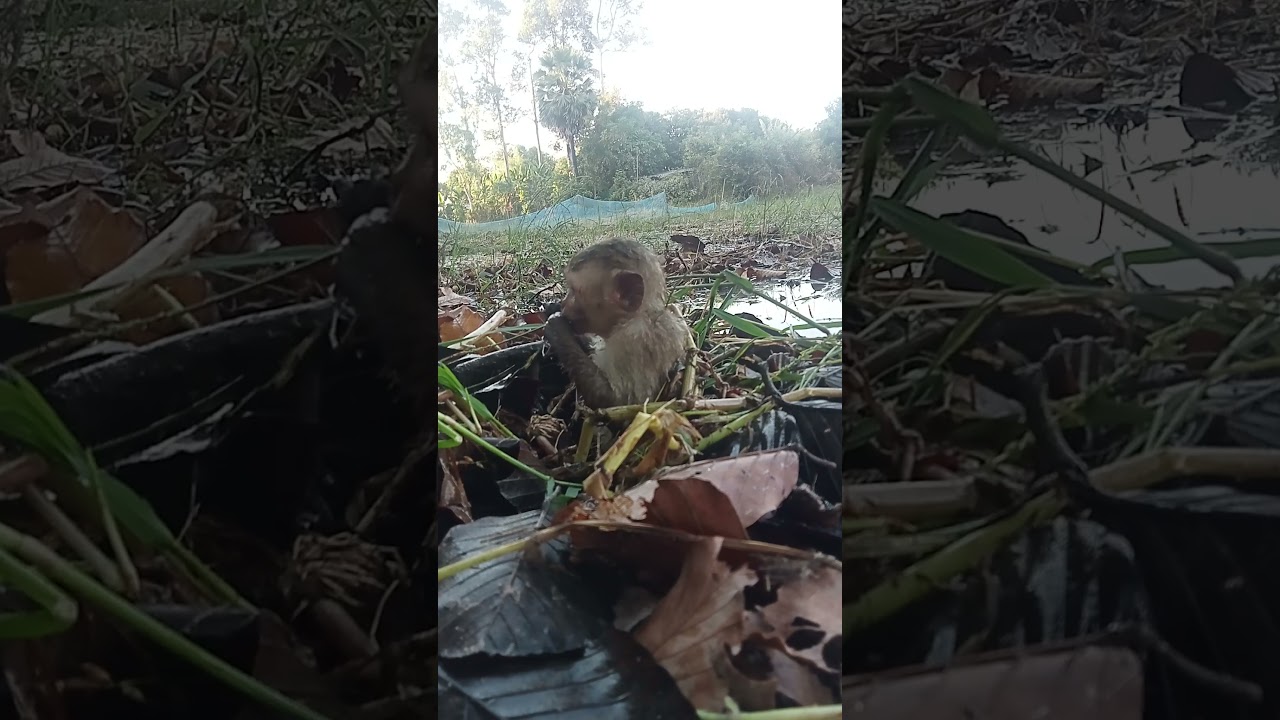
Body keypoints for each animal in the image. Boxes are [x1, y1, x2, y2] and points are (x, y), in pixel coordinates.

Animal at [543, 238, 689, 409]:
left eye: (573, 291)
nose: (564, 303)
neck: (627, 321)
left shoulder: (633, 340)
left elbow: (622, 401)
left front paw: (557, 329)